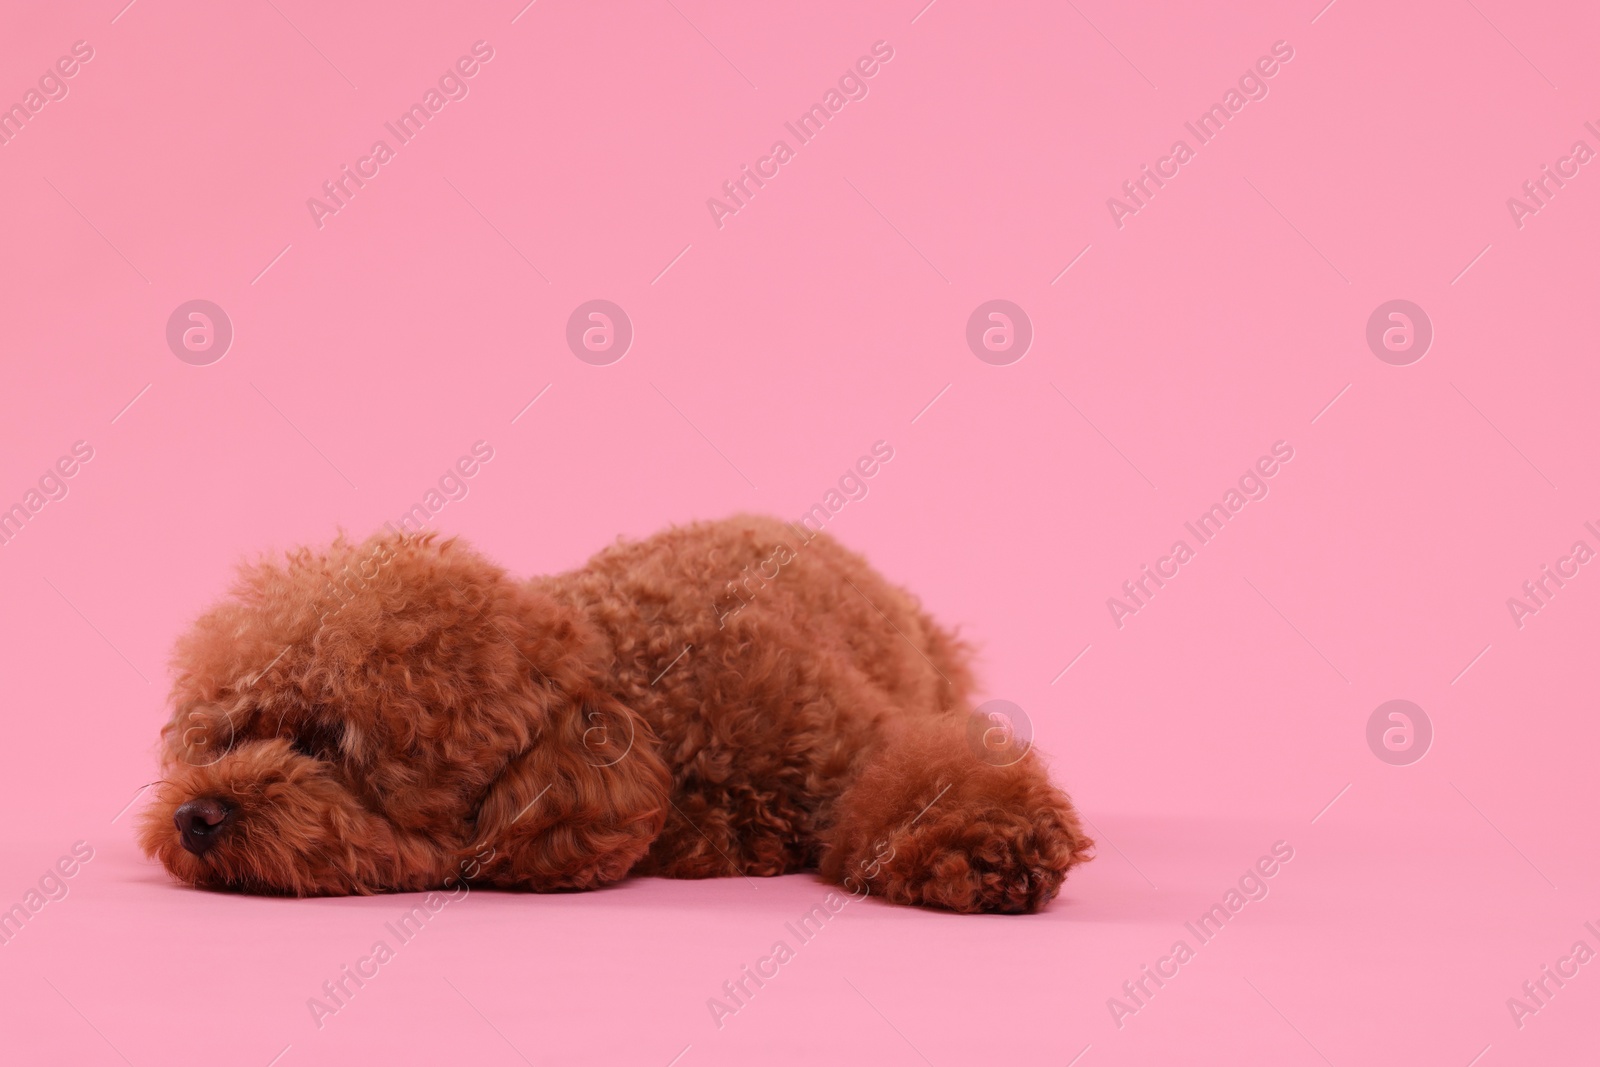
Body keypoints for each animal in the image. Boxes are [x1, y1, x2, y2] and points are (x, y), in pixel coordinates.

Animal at [140, 515, 1088, 908]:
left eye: (327, 742)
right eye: (231, 734)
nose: (193, 817)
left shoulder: (849, 735)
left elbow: (928, 775)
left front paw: (998, 844)